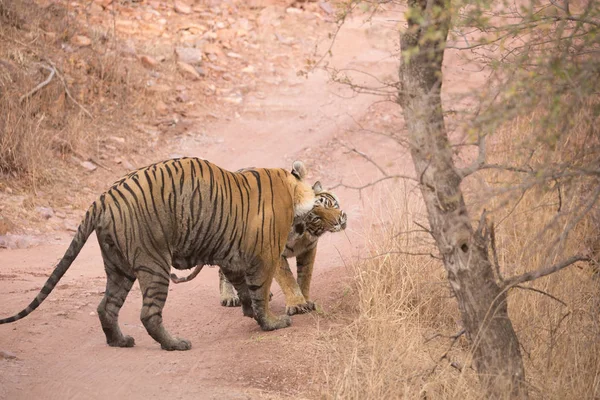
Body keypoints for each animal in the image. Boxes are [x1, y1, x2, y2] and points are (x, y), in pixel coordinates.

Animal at [0, 158, 316, 352]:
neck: (290, 187)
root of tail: (104, 198)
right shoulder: (264, 257)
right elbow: (259, 291)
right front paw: (271, 323)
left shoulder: (233, 259)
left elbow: (243, 288)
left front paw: (248, 311)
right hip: (154, 264)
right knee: (148, 314)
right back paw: (175, 344)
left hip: (118, 266)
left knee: (106, 306)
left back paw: (120, 341)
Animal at [170, 181, 346, 316]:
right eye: (316, 218)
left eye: (329, 205)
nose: (340, 219)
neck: (302, 235)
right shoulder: (276, 254)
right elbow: (288, 279)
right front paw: (297, 304)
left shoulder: (309, 249)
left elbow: (305, 276)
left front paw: (306, 300)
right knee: (223, 272)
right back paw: (229, 297)